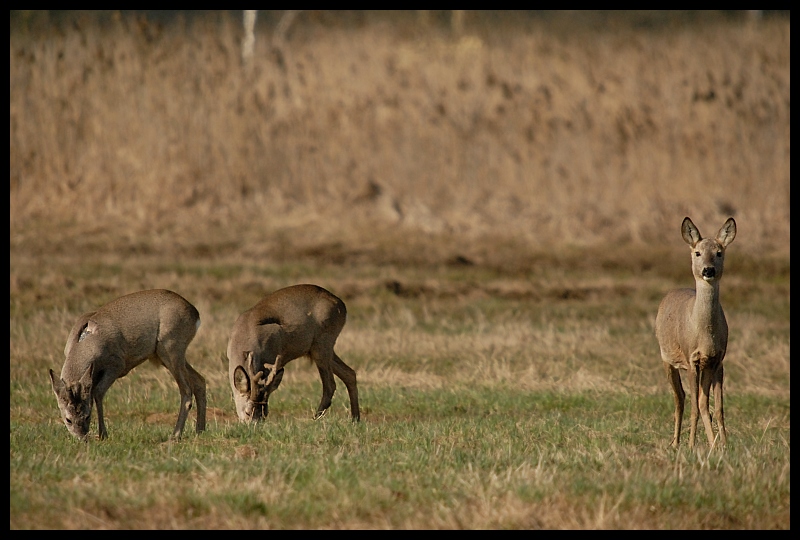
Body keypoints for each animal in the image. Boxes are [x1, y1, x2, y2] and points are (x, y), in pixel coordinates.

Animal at [48, 292, 206, 438]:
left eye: (87, 416)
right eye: (68, 419)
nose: (82, 437)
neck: (87, 344)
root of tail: (195, 313)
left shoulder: (116, 365)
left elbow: (98, 392)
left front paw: (103, 434)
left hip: (171, 349)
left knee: (186, 390)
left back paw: (175, 435)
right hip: (165, 355)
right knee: (199, 380)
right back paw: (200, 430)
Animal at [227, 284, 360, 424]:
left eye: (265, 414)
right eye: (248, 412)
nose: (255, 426)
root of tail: (342, 306)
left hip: (323, 343)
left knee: (330, 384)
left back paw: (314, 419)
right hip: (317, 349)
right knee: (349, 373)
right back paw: (355, 419)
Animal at [656, 217, 736, 450]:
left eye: (719, 252)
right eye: (697, 252)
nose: (708, 270)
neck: (704, 335)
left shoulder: (715, 360)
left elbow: (713, 406)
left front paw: (721, 444)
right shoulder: (692, 358)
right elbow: (695, 405)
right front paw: (692, 445)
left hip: (710, 367)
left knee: (699, 400)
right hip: (667, 358)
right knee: (680, 398)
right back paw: (675, 443)